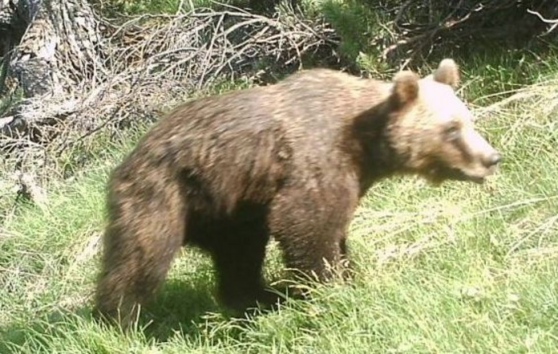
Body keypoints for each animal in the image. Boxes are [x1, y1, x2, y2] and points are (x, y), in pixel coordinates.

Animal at [94, 58, 506, 326]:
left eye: (468, 120)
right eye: (451, 129)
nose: (491, 158)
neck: (363, 145)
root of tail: (128, 157)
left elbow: (336, 230)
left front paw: (349, 275)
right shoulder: (316, 159)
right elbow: (306, 224)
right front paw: (330, 288)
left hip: (231, 208)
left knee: (239, 255)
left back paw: (257, 299)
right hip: (164, 192)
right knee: (141, 257)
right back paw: (121, 319)